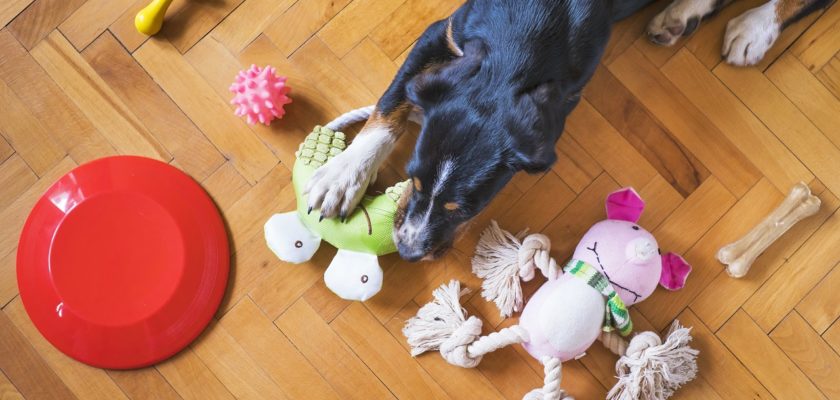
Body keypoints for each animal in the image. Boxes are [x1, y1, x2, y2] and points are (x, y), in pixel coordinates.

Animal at [306, 0, 832, 260]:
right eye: (412, 181)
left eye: (466, 210)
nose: (409, 252)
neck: (530, 30)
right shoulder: (444, 31)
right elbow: (391, 101)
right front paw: (342, 175)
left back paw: (753, 26)